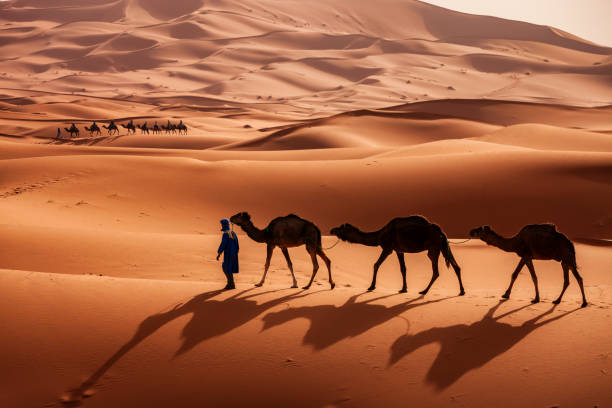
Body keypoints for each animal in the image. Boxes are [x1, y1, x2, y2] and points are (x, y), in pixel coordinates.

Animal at [330, 217, 464, 296]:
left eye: (341, 228)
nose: (332, 230)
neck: (379, 235)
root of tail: (441, 232)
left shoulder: (388, 248)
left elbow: (376, 264)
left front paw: (371, 286)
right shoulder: (399, 251)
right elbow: (403, 269)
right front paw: (403, 289)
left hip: (433, 248)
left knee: (436, 271)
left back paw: (424, 291)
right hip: (443, 246)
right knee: (456, 266)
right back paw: (462, 291)